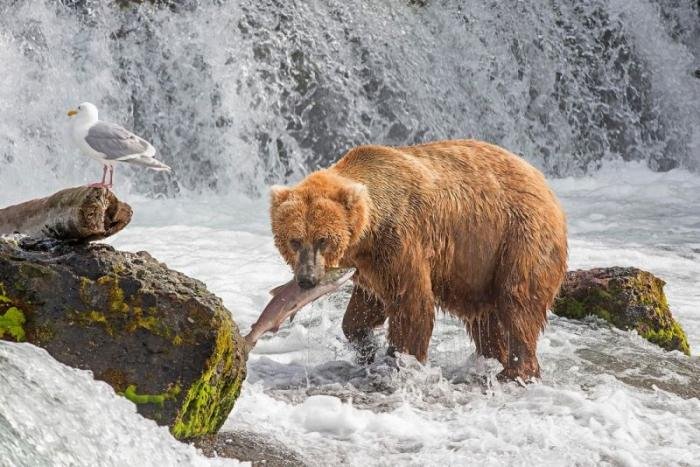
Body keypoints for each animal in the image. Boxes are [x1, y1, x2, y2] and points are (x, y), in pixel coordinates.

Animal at [268, 139, 568, 380]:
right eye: (295, 240)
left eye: (323, 239)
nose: (307, 279)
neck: (369, 232)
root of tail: (542, 181)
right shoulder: (370, 264)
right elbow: (364, 309)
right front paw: (366, 349)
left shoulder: (400, 241)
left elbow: (411, 304)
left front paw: (400, 360)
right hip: (481, 267)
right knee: (486, 319)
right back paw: (492, 361)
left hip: (518, 237)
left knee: (518, 302)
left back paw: (516, 371)